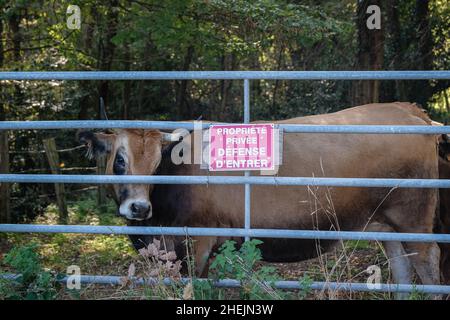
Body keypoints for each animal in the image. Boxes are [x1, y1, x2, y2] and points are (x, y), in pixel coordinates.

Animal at [76, 102, 440, 292]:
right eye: (119, 160)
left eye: (155, 164)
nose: (139, 207)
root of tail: (406, 110)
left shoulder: (199, 243)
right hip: (386, 224)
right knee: (403, 269)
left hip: (414, 219)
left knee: (429, 261)